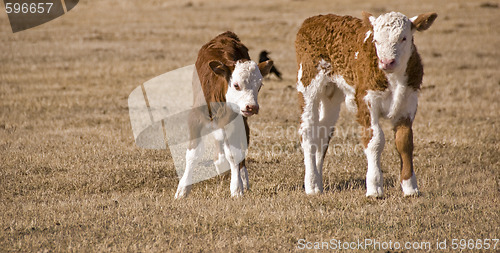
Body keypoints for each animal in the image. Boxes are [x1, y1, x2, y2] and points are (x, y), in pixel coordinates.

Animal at [174, 31, 272, 198]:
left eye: (259, 86)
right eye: (236, 85)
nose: (252, 107)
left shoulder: (235, 122)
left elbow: (234, 154)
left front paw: (237, 187)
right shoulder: (195, 120)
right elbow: (193, 154)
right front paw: (182, 189)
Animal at [294, 11, 436, 198]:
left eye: (403, 38)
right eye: (375, 40)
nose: (386, 62)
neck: (393, 79)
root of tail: (315, 19)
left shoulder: (408, 104)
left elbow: (404, 142)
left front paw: (410, 187)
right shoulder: (366, 102)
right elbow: (375, 140)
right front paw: (374, 188)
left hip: (332, 93)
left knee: (323, 131)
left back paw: (318, 182)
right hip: (308, 83)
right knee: (308, 131)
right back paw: (311, 184)